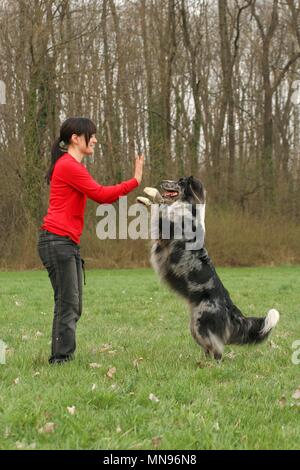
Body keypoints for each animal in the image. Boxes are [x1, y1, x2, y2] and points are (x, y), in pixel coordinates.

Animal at [137, 176, 280, 360]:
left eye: (180, 181)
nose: (162, 180)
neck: (186, 206)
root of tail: (231, 310)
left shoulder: (167, 228)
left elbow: (159, 206)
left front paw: (150, 192)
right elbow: (159, 205)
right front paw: (144, 199)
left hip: (202, 325)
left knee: (217, 349)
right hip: (195, 327)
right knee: (209, 347)